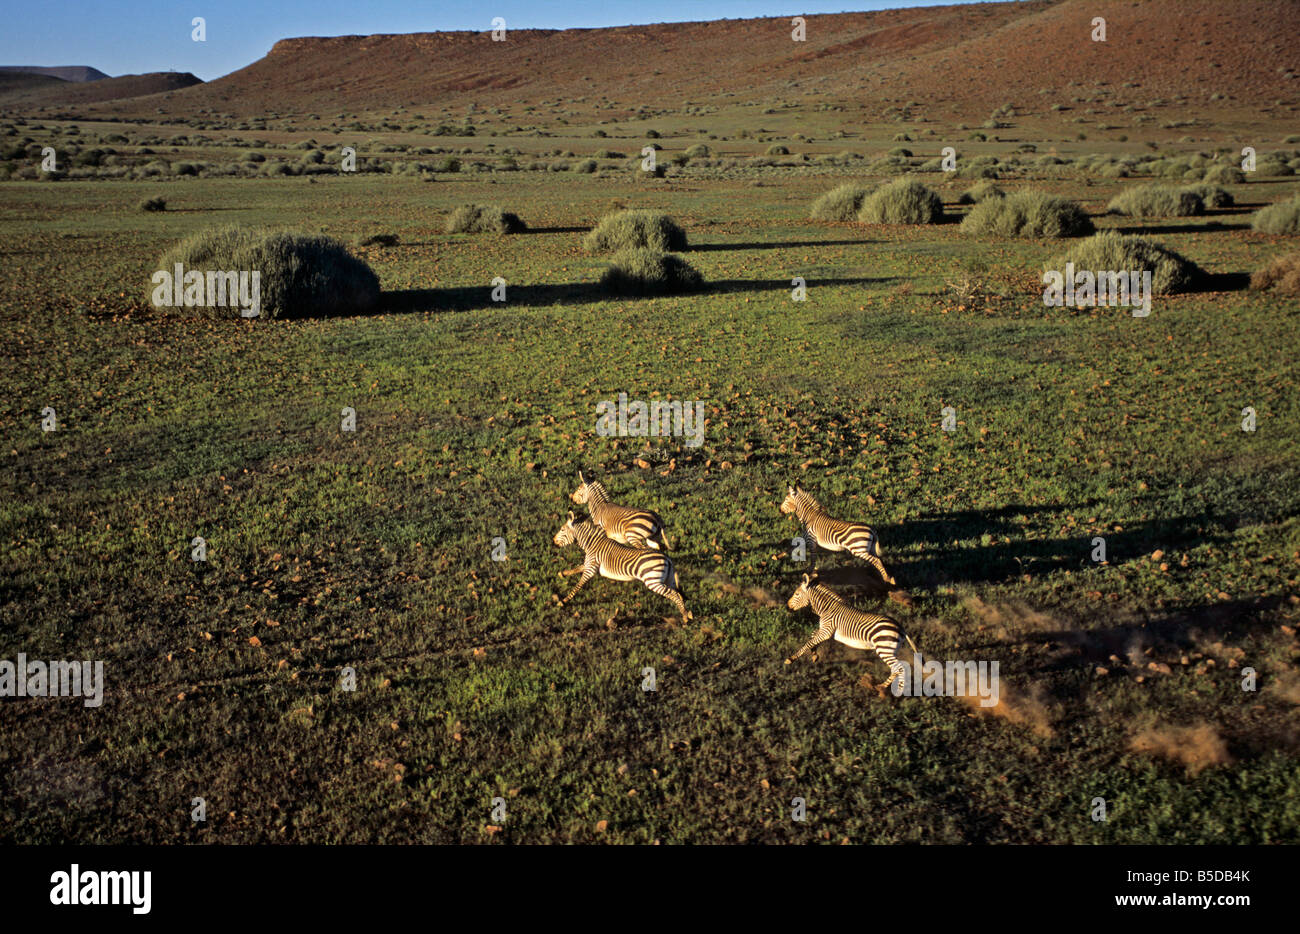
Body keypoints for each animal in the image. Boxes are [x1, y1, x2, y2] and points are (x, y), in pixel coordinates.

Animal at [551, 512, 691, 621]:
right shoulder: (590, 565)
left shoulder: (590, 569)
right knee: (678, 593)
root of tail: (667, 558)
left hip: (653, 581)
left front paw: (563, 601)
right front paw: (563, 573)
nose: (553, 542)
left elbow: (578, 585)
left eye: (562, 530)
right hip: (668, 579)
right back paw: (687, 613)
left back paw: (685, 617)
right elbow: (577, 568)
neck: (593, 544)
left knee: (674, 594)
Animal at [780, 574, 915, 692]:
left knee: (899, 669)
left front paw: (791, 659)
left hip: (884, 648)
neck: (826, 609)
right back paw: (882, 687)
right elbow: (812, 636)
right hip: (891, 650)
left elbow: (808, 642)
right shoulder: (824, 630)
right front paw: (814, 655)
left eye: (797, 594)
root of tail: (900, 627)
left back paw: (892, 689)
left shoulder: (826, 631)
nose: (787, 606)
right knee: (896, 669)